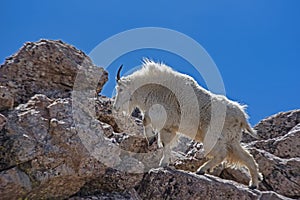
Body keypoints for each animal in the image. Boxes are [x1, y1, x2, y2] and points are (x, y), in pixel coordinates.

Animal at [112, 61, 262, 189]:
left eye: (120, 89)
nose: (115, 107)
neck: (154, 88)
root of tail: (242, 117)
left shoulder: (166, 120)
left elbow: (157, 133)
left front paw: (160, 157)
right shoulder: (168, 125)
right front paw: (155, 145)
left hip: (214, 136)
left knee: (222, 154)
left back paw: (201, 169)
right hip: (232, 140)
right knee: (247, 158)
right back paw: (253, 184)